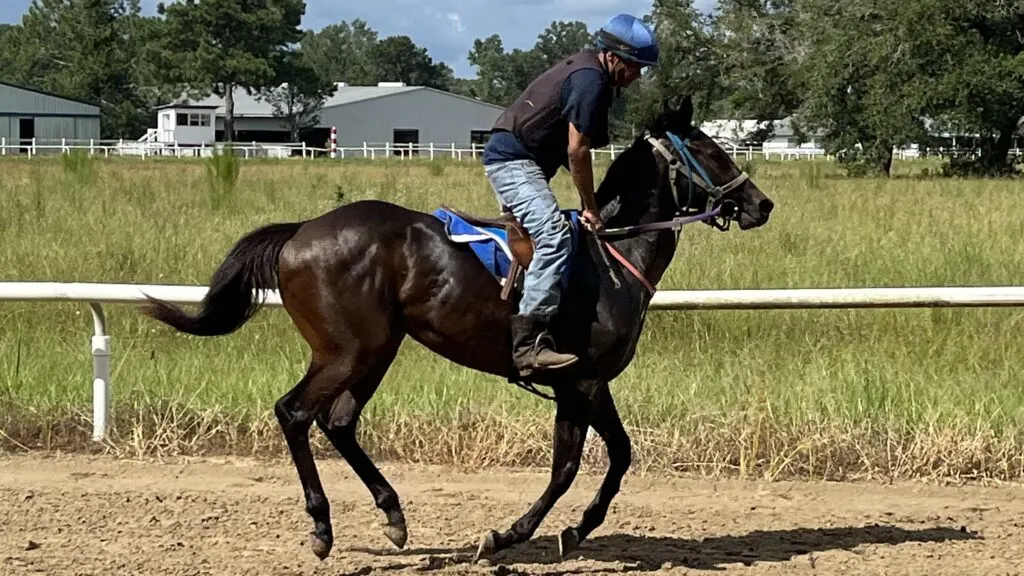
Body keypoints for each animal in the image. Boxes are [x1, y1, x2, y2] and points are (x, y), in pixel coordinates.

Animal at [139, 94, 774, 563]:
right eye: (709, 148)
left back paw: (393, 514)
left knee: (338, 421)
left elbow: (607, 458)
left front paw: (570, 530)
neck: (614, 255)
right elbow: (577, 465)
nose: (760, 204)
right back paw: (322, 527)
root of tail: (301, 231)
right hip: (347, 350)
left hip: (379, 349)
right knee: (295, 413)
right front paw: (513, 534)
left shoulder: (588, 383)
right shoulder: (580, 383)